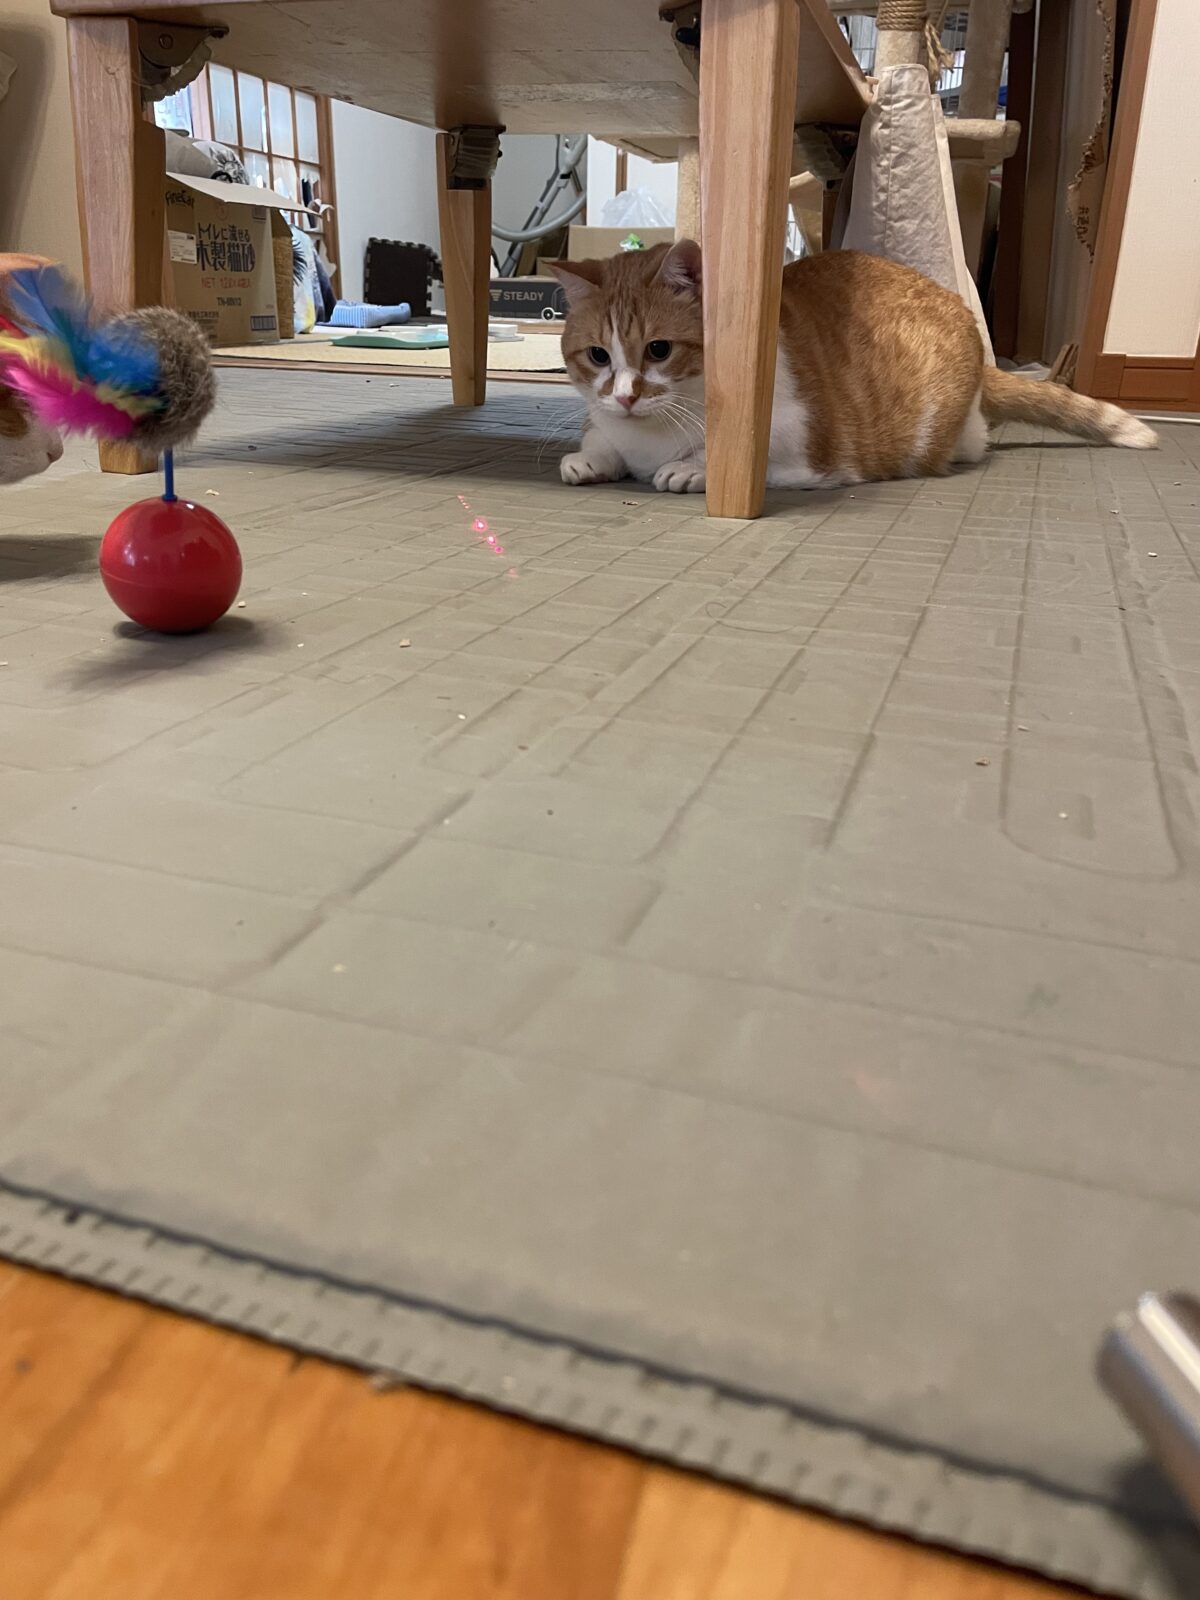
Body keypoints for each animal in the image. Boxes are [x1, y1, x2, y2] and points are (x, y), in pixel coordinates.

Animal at [547, 242, 1157, 495]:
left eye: (658, 350)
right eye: (599, 355)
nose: (626, 396)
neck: (650, 437)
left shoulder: (800, 439)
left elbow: (735, 454)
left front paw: (692, 468)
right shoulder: (603, 418)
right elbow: (598, 437)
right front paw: (591, 459)